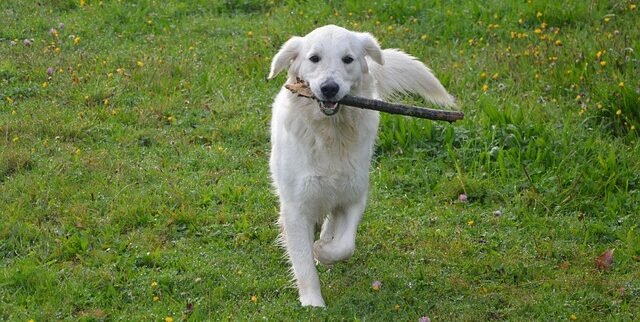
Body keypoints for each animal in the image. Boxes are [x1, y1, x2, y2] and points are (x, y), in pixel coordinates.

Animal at [268, 23, 458, 306]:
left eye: (348, 59)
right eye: (314, 58)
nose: (329, 88)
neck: (331, 133)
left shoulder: (354, 195)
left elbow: (345, 245)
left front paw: (323, 251)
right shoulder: (295, 207)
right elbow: (303, 263)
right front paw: (313, 304)